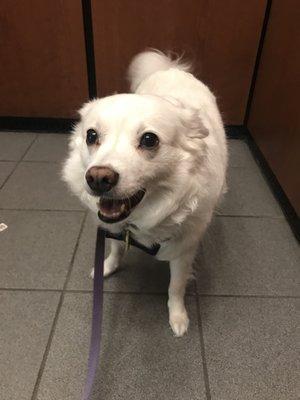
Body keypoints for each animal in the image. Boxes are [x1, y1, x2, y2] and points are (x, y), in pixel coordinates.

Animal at [63, 50, 227, 338]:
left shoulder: (183, 251)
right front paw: (108, 266)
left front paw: (178, 317)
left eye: (149, 140)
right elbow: (116, 248)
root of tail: (172, 68)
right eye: (91, 135)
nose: (98, 178)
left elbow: (176, 287)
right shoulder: (115, 229)